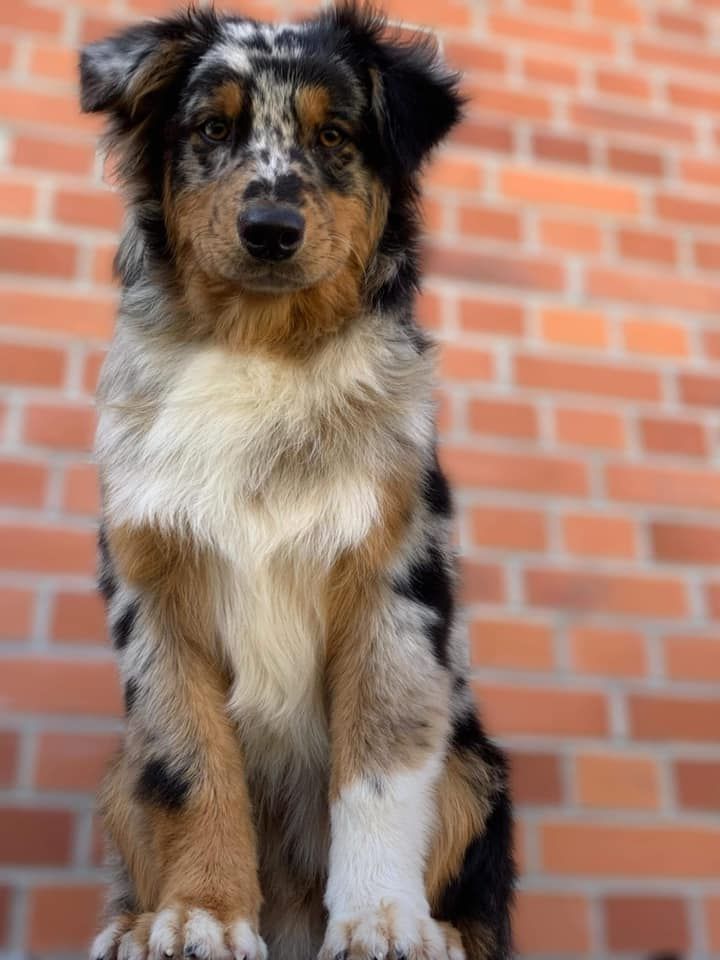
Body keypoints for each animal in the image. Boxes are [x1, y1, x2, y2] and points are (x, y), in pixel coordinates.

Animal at [80, 5, 515, 960]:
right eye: (212, 130)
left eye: (336, 137)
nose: (272, 228)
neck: (264, 345)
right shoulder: (154, 591)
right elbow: (191, 768)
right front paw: (199, 916)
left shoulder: (392, 586)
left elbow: (378, 770)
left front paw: (382, 922)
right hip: (117, 774)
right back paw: (134, 922)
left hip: (477, 766)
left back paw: (442, 932)